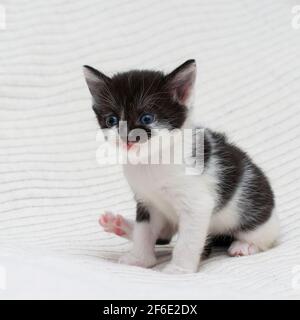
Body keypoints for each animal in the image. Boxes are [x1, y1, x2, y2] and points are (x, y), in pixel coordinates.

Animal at [82, 60, 278, 276]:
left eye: (147, 118)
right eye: (112, 120)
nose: (127, 139)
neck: (151, 161)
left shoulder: (197, 204)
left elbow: (187, 241)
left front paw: (178, 269)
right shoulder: (146, 200)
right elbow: (144, 230)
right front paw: (140, 259)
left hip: (251, 209)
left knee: (263, 235)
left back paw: (245, 245)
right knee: (163, 234)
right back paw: (119, 225)